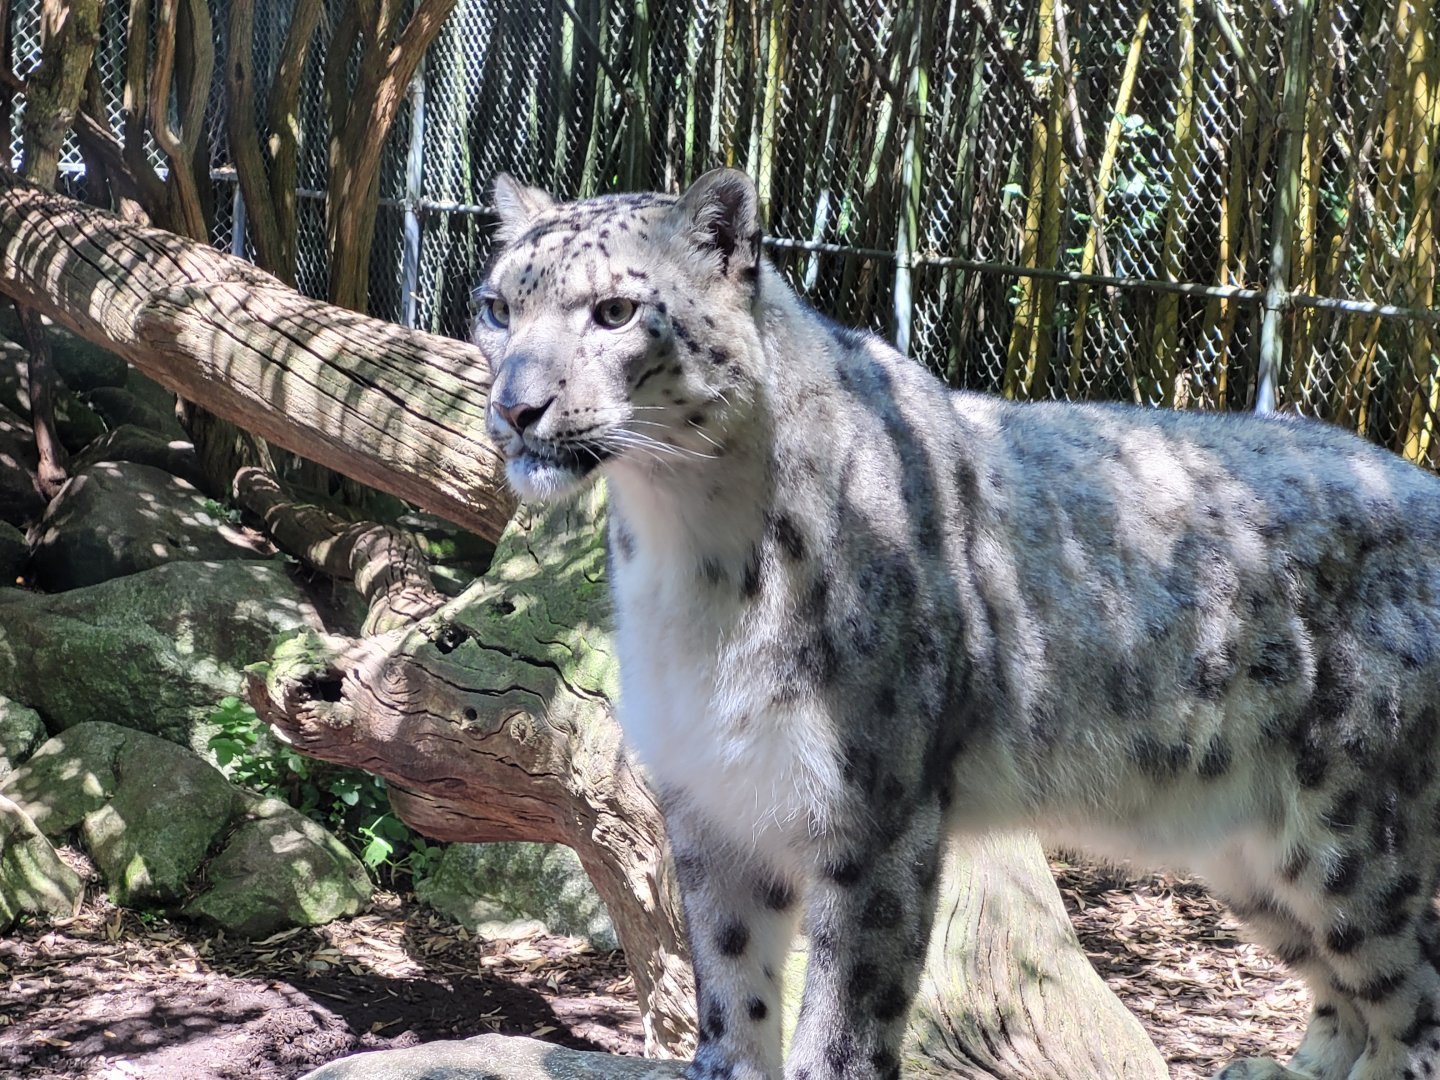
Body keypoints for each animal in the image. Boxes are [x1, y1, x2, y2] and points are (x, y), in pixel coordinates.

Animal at [474, 166, 1440, 1080]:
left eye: (614, 311)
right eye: (496, 308)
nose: (515, 409)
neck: (691, 555)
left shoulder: (874, 804)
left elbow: (846, 1009)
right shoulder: (711, 793)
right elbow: (729, 970)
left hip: (1358, 835)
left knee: (1410, 1005)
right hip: (1251, 859)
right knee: (1345, 992)